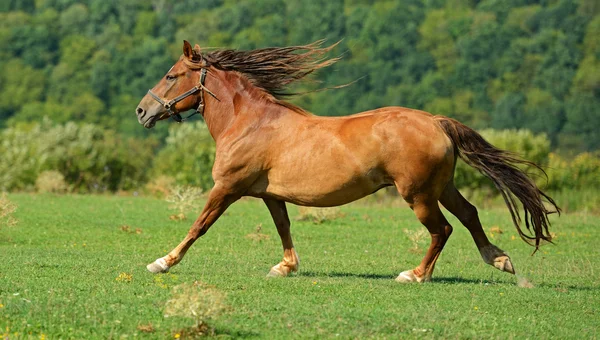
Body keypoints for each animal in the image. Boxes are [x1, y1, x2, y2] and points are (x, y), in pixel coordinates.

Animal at [135, 39, 556, 282]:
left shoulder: (227, 187)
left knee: (443, 230)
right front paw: (286, 267)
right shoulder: (271, 194)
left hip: (418, 194)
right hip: (442, 187)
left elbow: (198, 226)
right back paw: (500, 260)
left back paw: (416, 274)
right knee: (469, 215)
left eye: (171, 75)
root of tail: (436, 121)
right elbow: (284, 227)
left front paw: (162, 262)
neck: (250, 122)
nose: (142, 111)